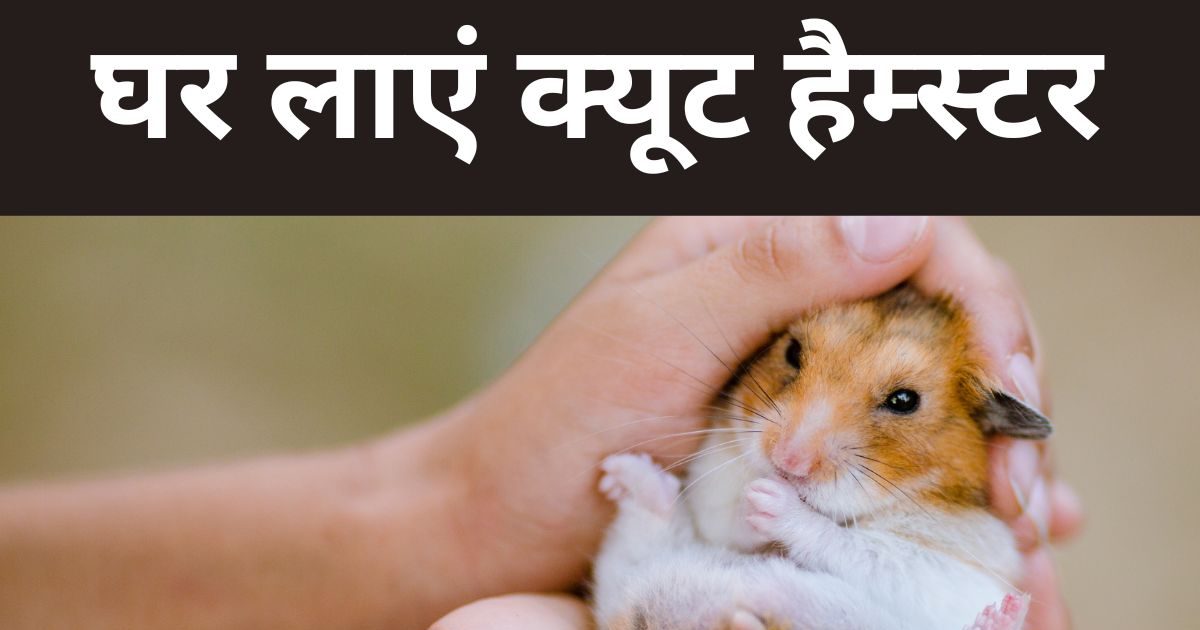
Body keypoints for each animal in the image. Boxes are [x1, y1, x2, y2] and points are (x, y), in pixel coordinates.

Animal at [591, 285, 1051, 630]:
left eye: (905, 401)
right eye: (792, 352)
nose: (786, 462)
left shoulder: (947, 569)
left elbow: (856, 546)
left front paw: (771, 501)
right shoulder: (713, 482)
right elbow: (725, 520)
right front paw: (756, 497)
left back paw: (1004, 614)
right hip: (629, 573)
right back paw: (624, 475)